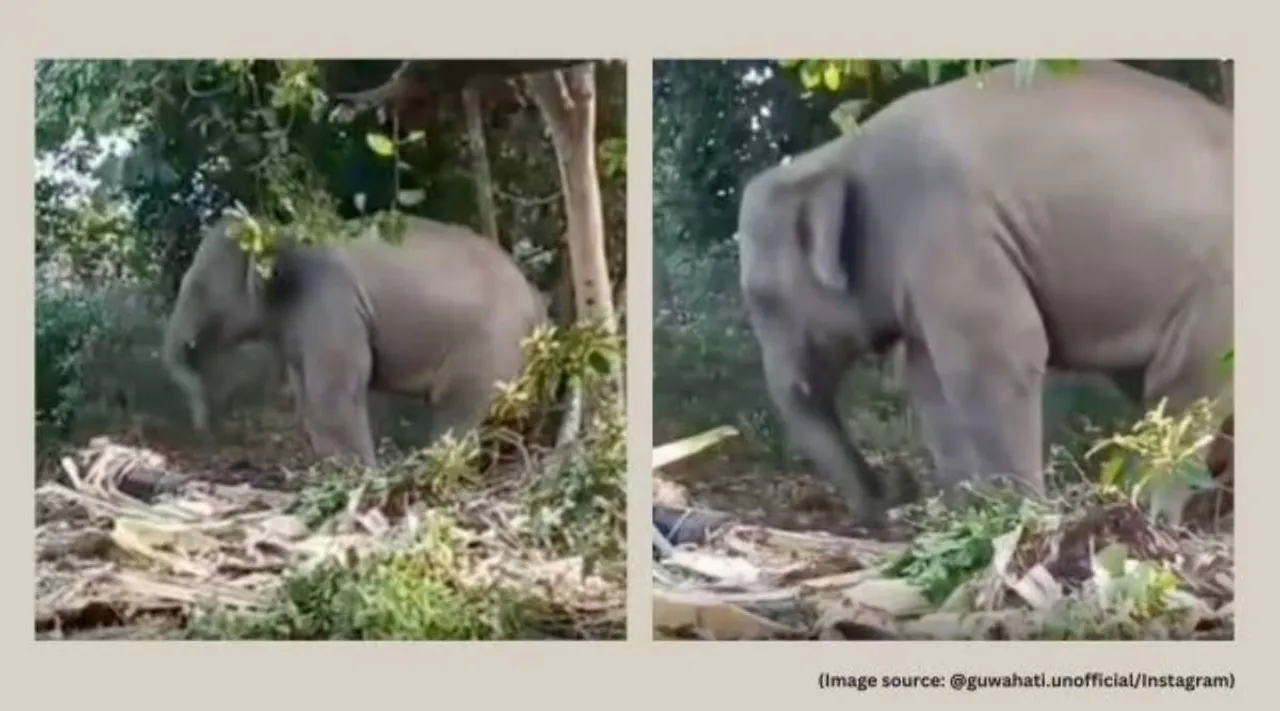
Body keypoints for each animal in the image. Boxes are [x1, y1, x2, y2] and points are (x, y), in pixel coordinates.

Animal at [161, 213, 548, 465]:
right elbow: (308, 398)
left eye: (200, 288)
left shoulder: (329, 301)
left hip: (489, 347)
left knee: (457, 411)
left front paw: (360, 475)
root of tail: (537, 302)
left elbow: (335, 392)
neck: (280, 233)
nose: (204, 432)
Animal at [736, 60, 1233, 526]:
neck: (835, 157)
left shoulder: (948, 227)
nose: (895, 489)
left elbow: (1001, 356)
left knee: (1181, 384)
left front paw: (1019, 518)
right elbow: (928, 382)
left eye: (762, 298)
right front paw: (967, 516)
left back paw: (1151, 515)